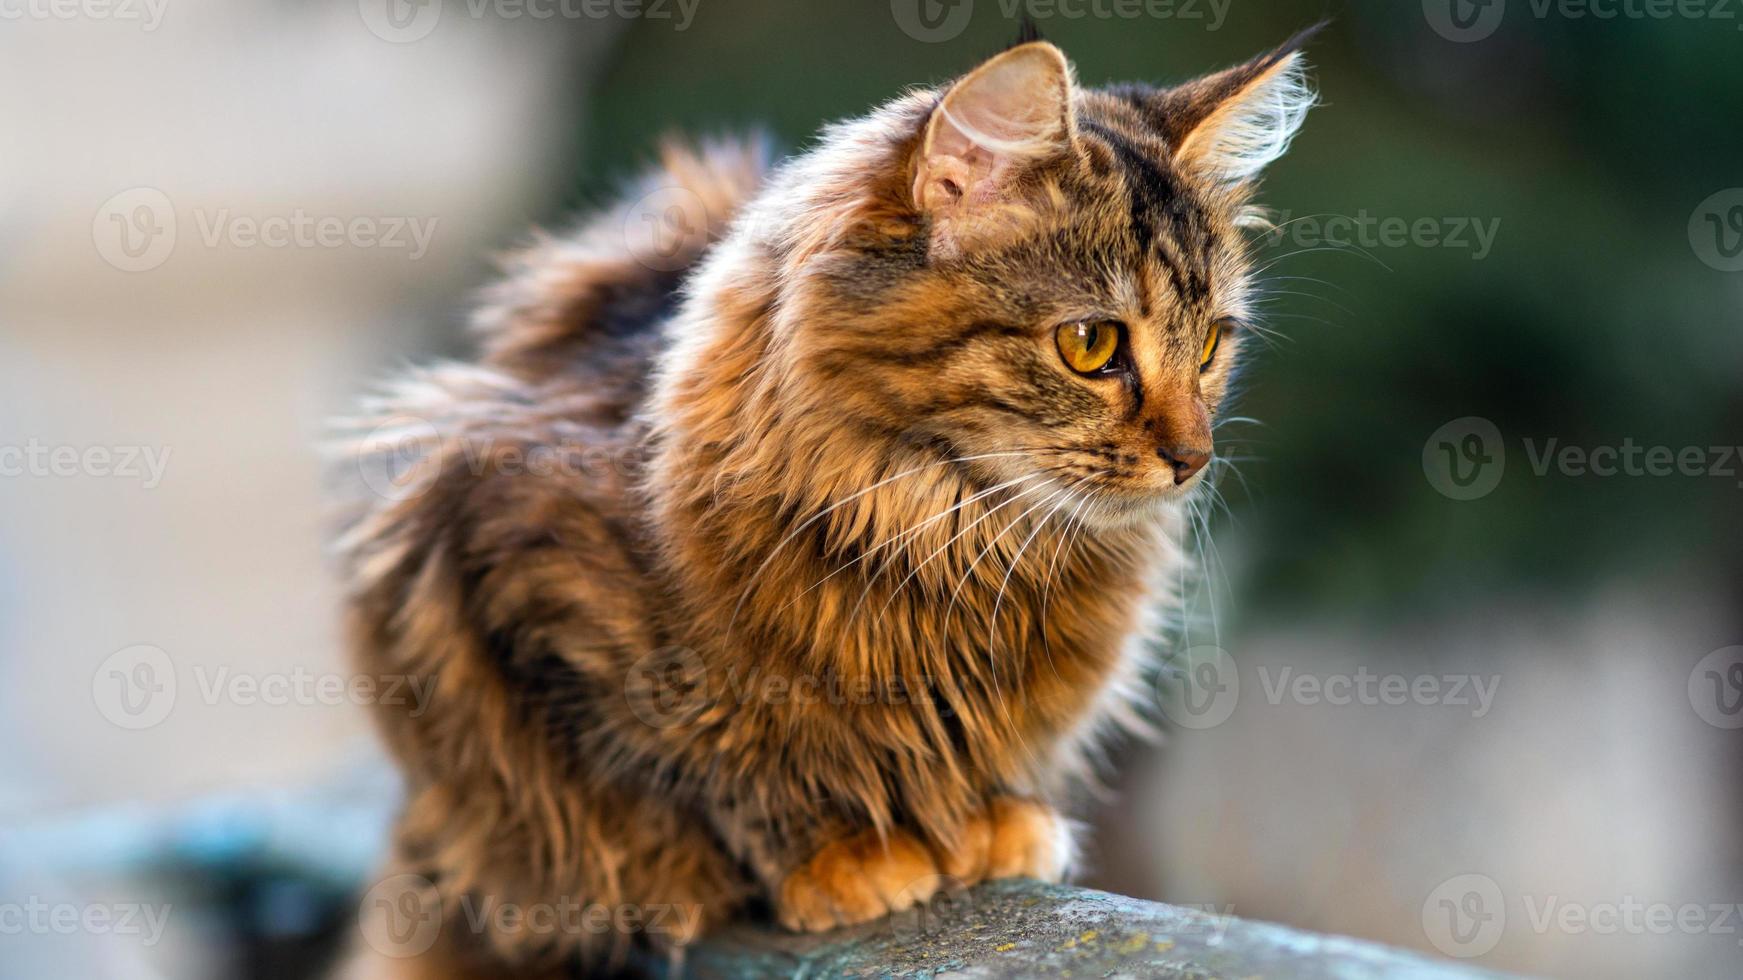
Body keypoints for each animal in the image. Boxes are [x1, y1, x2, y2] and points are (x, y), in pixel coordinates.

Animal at [332, 26, 1317, 969]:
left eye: (1210, 345)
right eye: (1089, 344)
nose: (1192, 458)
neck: (949, 534)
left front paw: (990, 823)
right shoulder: (512, 579)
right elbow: (710, 775)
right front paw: (841, 854)